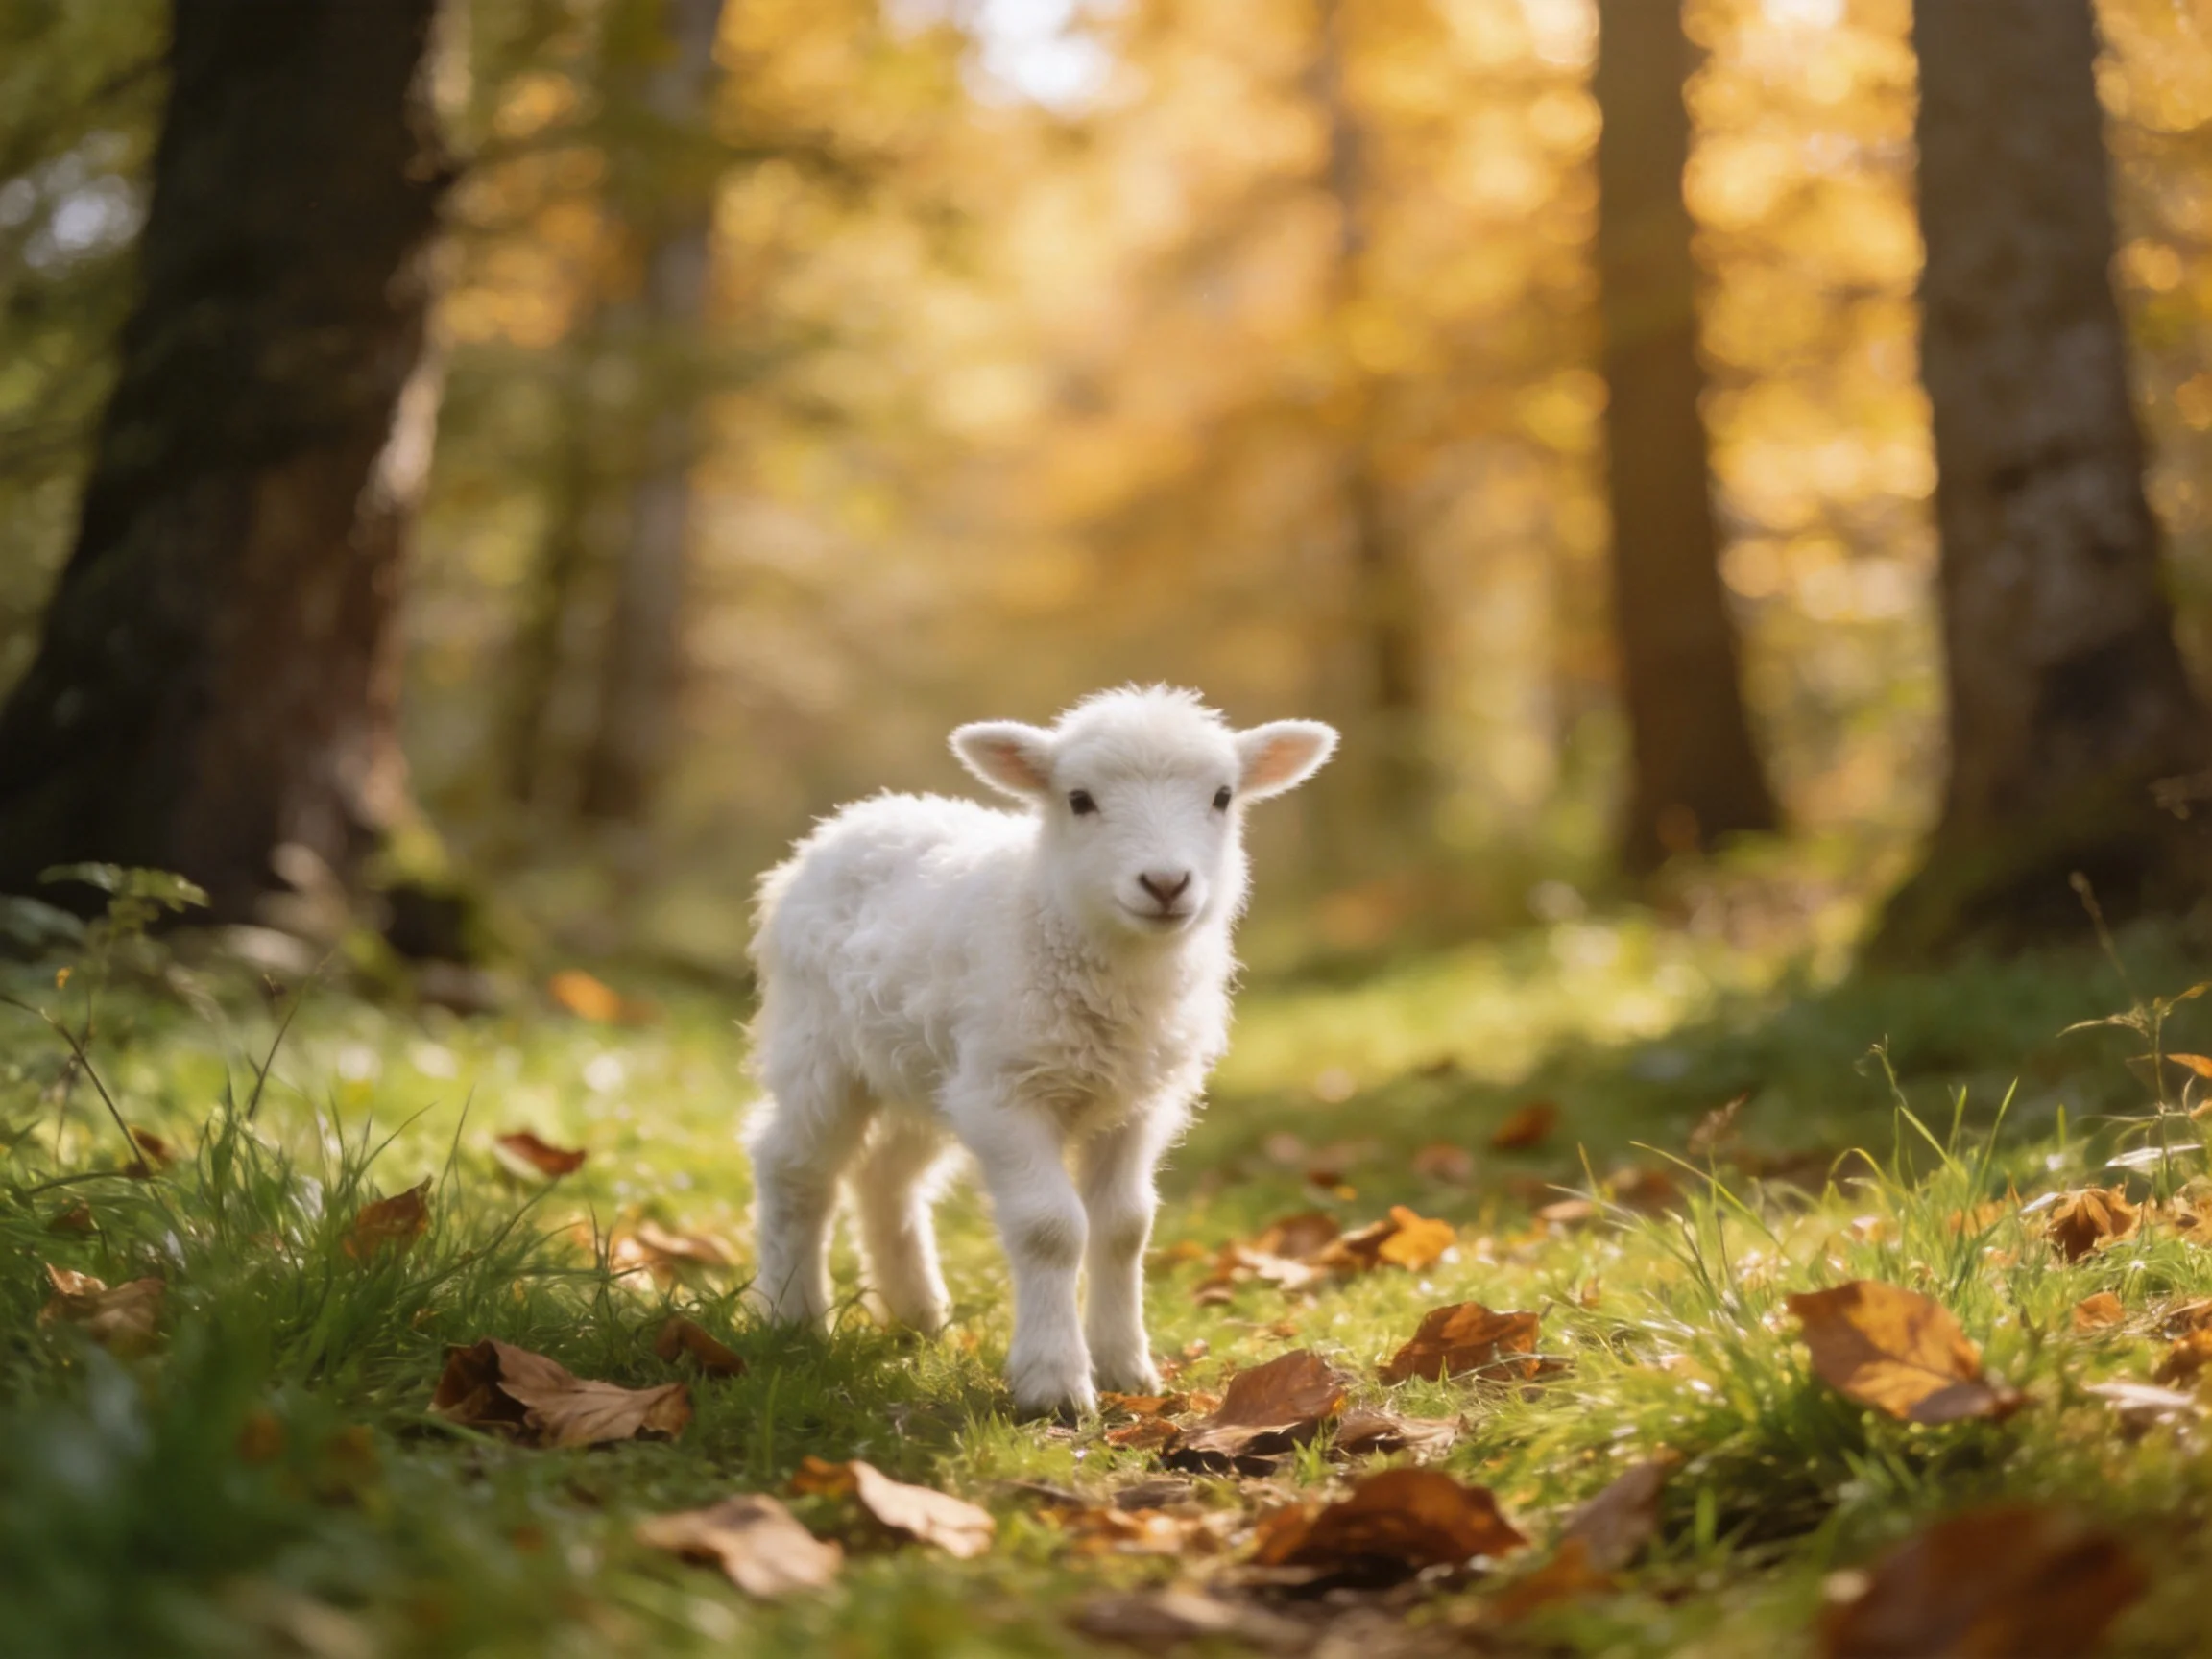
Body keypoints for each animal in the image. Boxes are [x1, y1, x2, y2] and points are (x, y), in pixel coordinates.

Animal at [742, 685, 1338, 1416]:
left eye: (1223, 796)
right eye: (1079, 799)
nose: (1166, 883)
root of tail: (857, 815)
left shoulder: (1138, 1104)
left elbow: (1125, 1226)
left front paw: (1125, 1368)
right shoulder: (1008, 1092)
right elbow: (1050, 1229)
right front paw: (1054, 1384)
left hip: (926, 1069)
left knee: (885, 1175)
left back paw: (915, 1316)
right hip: (819, 1046)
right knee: (792, 1166)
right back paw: (793, 1318)